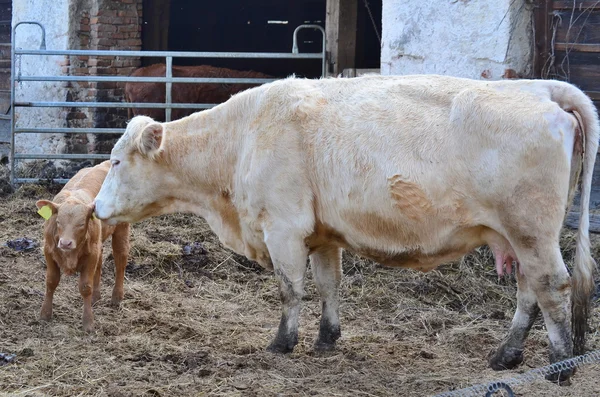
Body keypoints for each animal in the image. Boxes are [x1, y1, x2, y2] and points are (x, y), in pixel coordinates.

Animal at [92, 75, 596, 384]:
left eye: (115, 161)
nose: (96, 208)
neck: (242, 138)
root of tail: (540, 88)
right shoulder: (321, 234)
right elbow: (328, 285)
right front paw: (326, 338)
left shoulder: (284, 228)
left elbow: (290, 289)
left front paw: (283, 343)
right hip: (517, 237)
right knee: (529, 292)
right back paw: (506, 356)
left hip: (531, 230)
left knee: (553, 288)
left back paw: (560, 367)